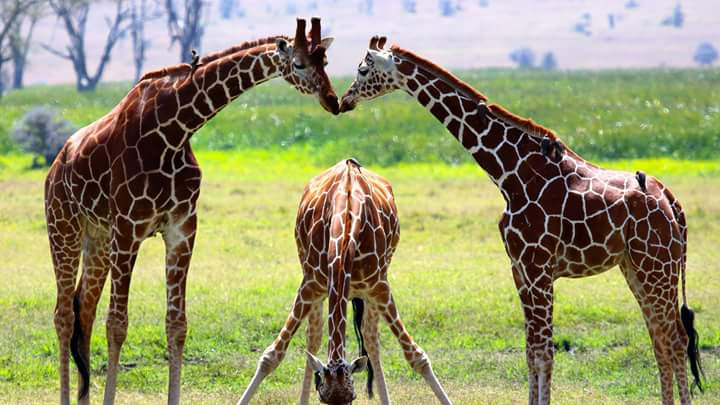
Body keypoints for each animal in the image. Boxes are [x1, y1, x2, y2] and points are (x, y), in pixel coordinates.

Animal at [46, 18, 342, 404]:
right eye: (299, 63)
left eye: (326, 61)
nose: (333, 101)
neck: (176, 129)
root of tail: (56, 165)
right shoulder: (129, 227)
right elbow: (118, 324)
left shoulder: (182, 228)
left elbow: (176, 325)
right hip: (63, 226)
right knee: (64, 314)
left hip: (96, 238)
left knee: (85, 310)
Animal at [236, 157, 452, 404]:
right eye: (323, 398)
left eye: (352, 397)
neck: (346, 224)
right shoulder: (310, 285)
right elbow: (271, 356)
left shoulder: (379, 287)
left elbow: (417, 357)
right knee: (314, 337)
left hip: (372, 287)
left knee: (370, 338)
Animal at [338, 36, 704, 402]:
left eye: (362, 69)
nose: (344, 100)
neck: (510, 173)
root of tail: (673, 203)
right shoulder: (520, 269)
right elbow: (531, 351)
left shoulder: (538, 267)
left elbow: (545, 352)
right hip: (637, 267)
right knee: (660, 339)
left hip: (657, 266)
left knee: (676, 339)